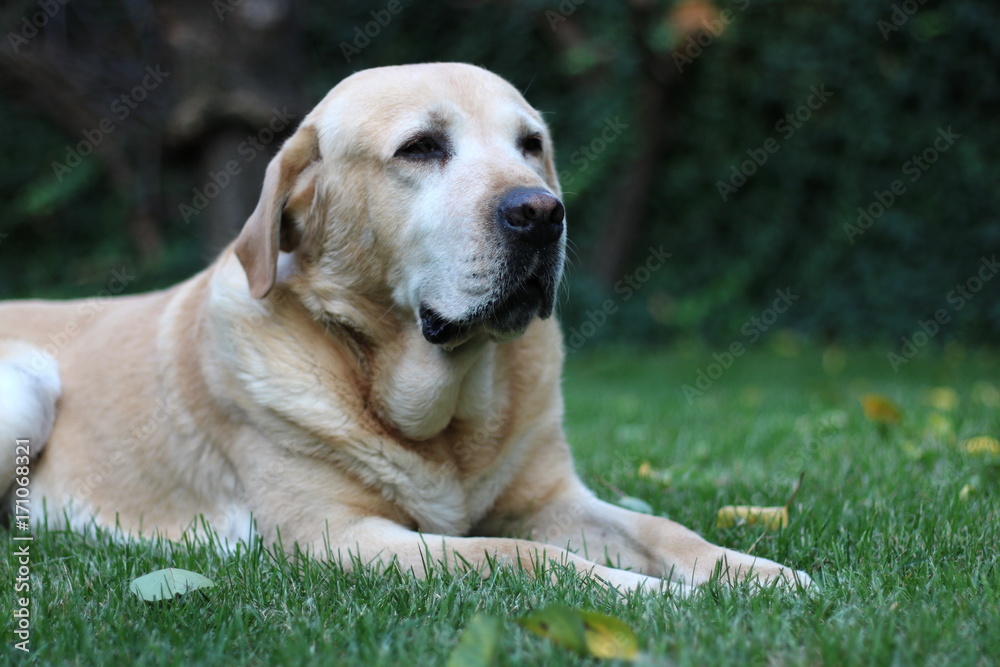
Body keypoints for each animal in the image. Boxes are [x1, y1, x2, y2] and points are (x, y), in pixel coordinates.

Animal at [0, 62, 812, 596]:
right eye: (421, 147)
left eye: (530, 145)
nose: (542, 212)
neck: (444, 412)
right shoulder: (338, 537)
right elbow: (514, 555)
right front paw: (653, 595)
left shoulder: (550, 499)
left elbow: (666, 529)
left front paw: (758, 574)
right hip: (29, 384)